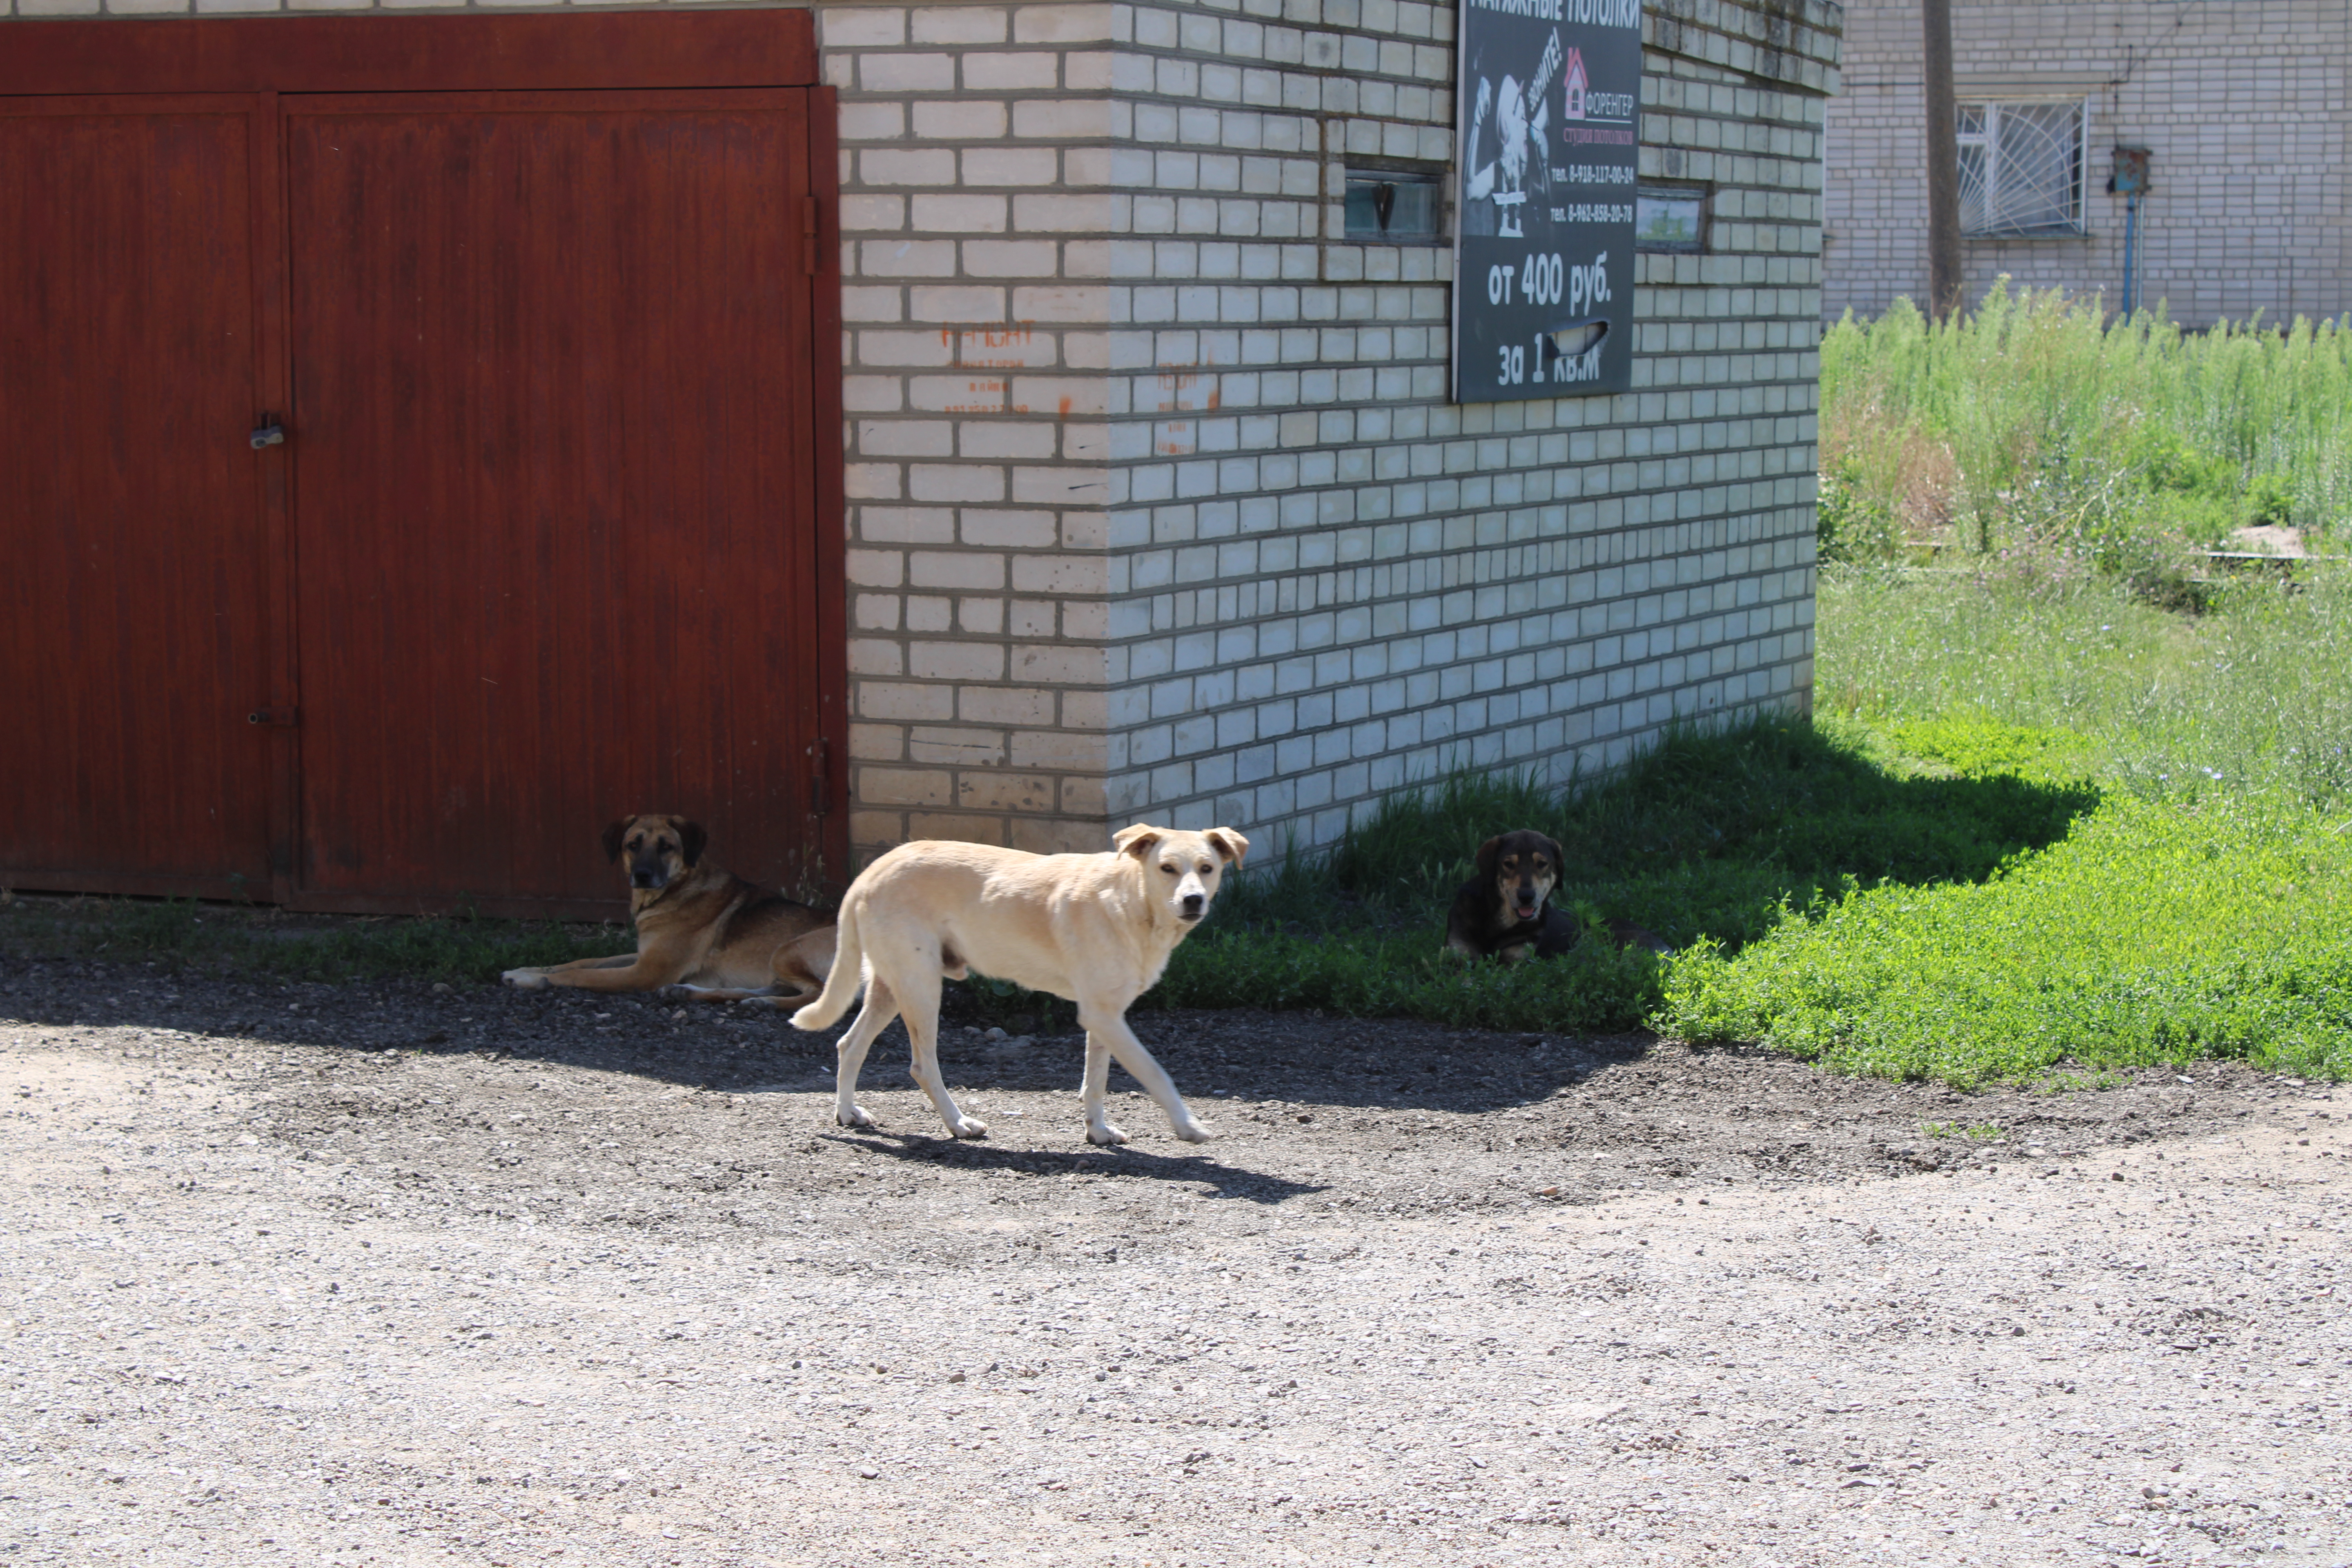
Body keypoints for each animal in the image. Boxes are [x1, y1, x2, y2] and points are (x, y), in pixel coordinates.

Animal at [496, 818, 837, 1011]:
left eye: (667, 847)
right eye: (633, 845)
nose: (643, 875)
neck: (675, 890)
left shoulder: (645, 972)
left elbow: (580, 974)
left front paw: (538, 980)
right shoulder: (642, 957)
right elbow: (582, 962)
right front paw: (526, 971)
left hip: (787, 950)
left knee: (817, 994)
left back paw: (766, 1003)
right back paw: (690, 993)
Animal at [786, 827, 1251, 1147]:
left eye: (1207, 869)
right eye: (1167, 868)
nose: (1193, 900)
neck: (1131, 901)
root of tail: (871, 871)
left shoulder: (1105, 1015)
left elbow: (1096, 1081)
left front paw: (1098, 1132)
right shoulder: (1103, 1016)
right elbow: (1155, 1072)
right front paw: (1187, 1125)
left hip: (891, 988)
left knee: (850, 1044)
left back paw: (848, 1112)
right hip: (922, 987)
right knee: (922, 1065)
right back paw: (958, 1123)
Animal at [1430, 827, 1675, 964]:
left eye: (1542, 864)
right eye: (1508, 864)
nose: (1526, 896)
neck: (1498, 921)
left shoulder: (1518, 962)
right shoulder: (1457, 956)